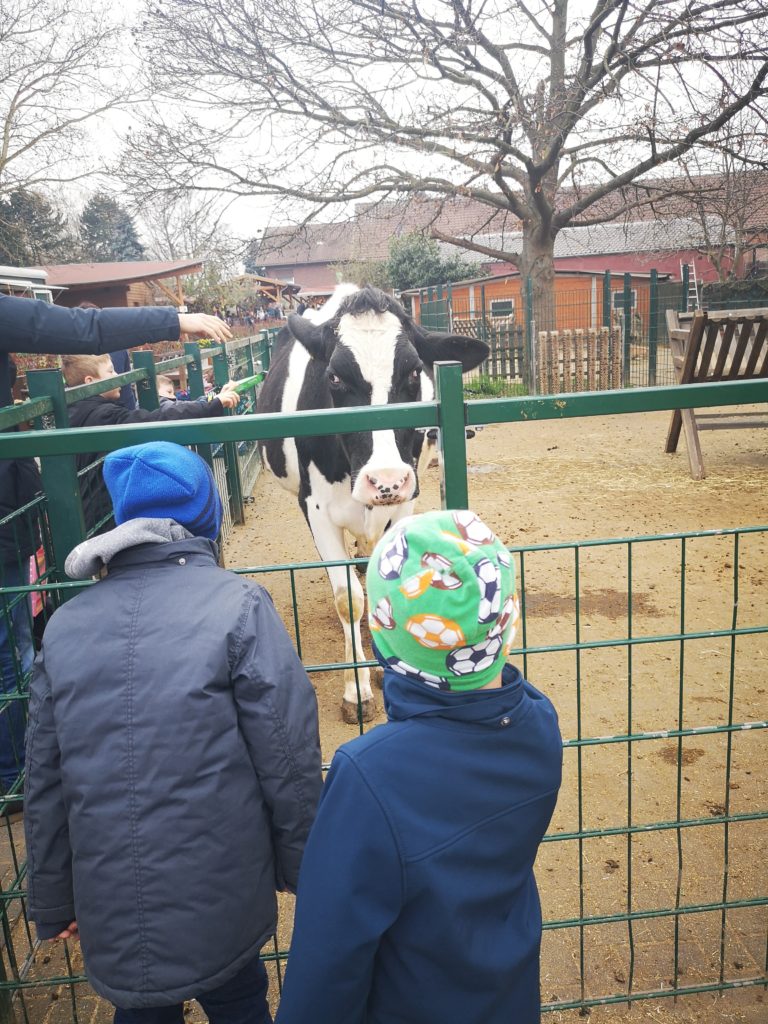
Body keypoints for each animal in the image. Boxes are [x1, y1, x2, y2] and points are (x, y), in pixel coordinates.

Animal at [257, 284, 487, 724]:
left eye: (414, 372)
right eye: (333, 376)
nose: (385, 480)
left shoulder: (404, 503)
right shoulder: (315, 509)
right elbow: (347, 599)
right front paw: (356, 690)